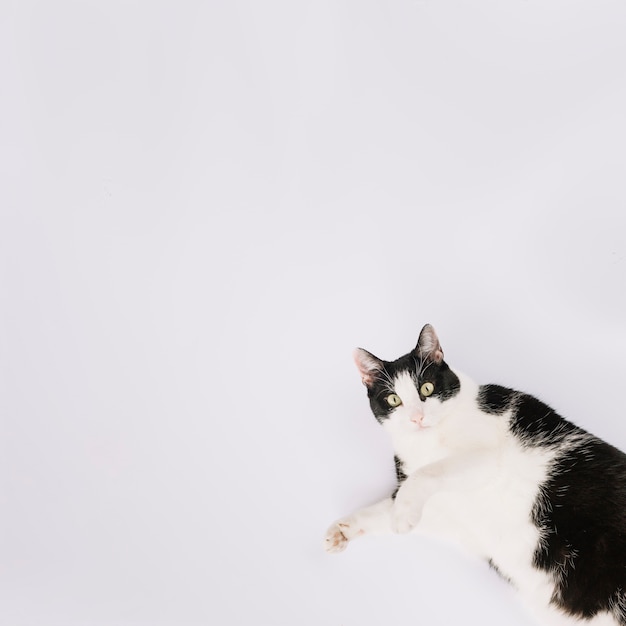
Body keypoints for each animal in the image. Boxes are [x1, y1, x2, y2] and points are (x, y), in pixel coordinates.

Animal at [324, 324, 624, 620]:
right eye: (394, 399)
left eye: (427, 388)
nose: (417, 417)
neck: (426, 443)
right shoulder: (448, 515)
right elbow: (384, 511)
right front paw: (345, 530)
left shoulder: (485, 457)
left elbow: (426, 474)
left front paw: (402, 515)